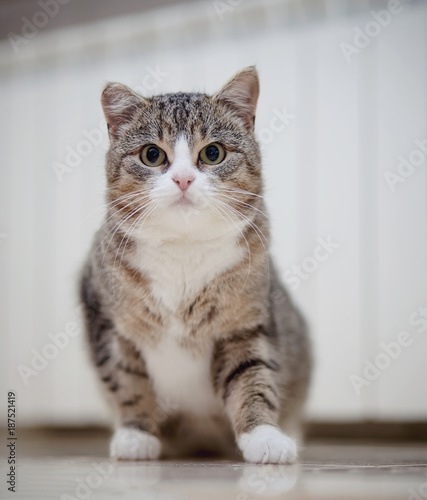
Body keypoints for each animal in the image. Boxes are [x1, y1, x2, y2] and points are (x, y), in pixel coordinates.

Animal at [80, 66, 312, 464]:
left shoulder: (246, 323)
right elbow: (127, 381)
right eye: (152, 155)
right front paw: (136, 434)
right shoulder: (105, 320)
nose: (183, 179)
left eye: (213, 152)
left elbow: (251, 377)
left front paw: (264, 435)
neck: (182, 249)